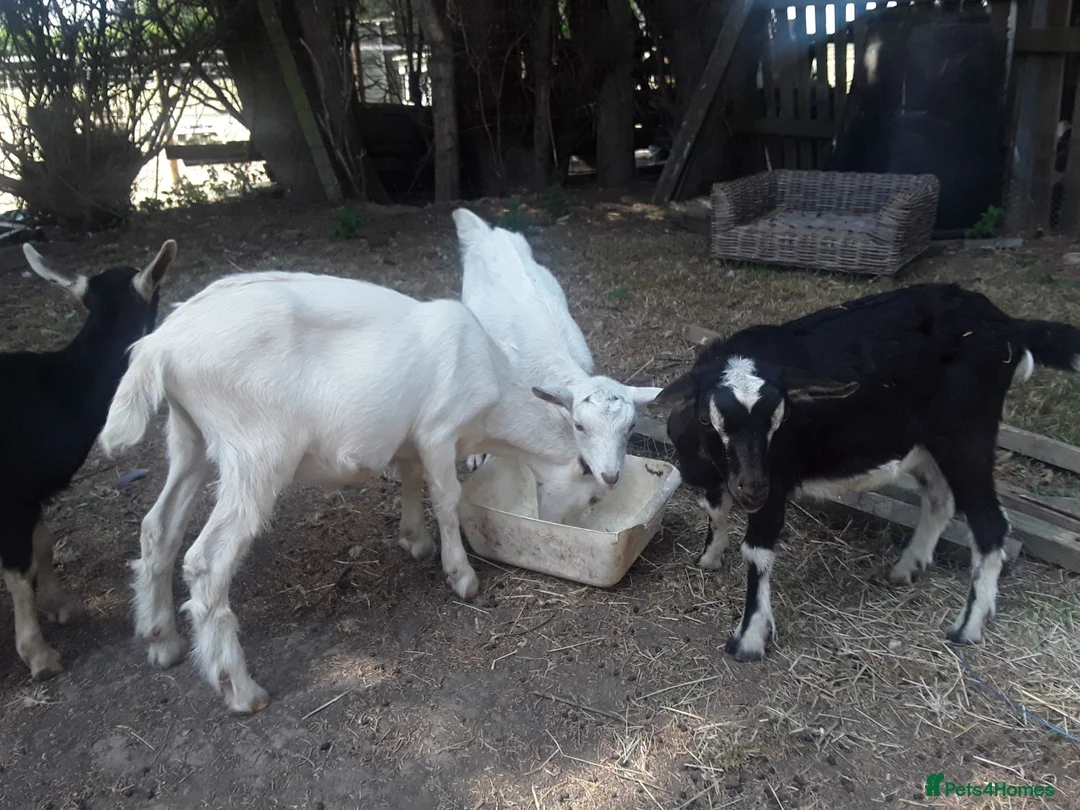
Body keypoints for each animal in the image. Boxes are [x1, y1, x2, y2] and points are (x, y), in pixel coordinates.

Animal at [0, 240, 174, 679]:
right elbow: (18, 571)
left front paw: (61, 605)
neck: (57, 391)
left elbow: (43, 545)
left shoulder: (32, 493)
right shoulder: (12, 495)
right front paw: (39, 655)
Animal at [97, 270, 617, 713]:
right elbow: (447, 499)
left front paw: (415, 540)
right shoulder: (438, 430)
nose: (562, 525)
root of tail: (160, 345)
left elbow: (411, 478)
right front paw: (461, 576)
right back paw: (241, 690)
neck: (493, 386)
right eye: (590, 488)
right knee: (206, 562)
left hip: (190, 438)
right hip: (256, 451)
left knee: (157, 528)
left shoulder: (411, 437)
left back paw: (161, 639)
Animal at [657, 283, 1080, 661]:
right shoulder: (718, 476)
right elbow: (714, 510)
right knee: (939, 501)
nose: (751, 489)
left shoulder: (777, 477)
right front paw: (709, 559)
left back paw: (968, 626)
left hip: (968, 434)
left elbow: (757, 552)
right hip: (928, 442)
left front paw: (748, 639)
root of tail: (1006, 324)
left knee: (990, 524)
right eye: (707, 420)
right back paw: (906, 569)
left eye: (780, 419)